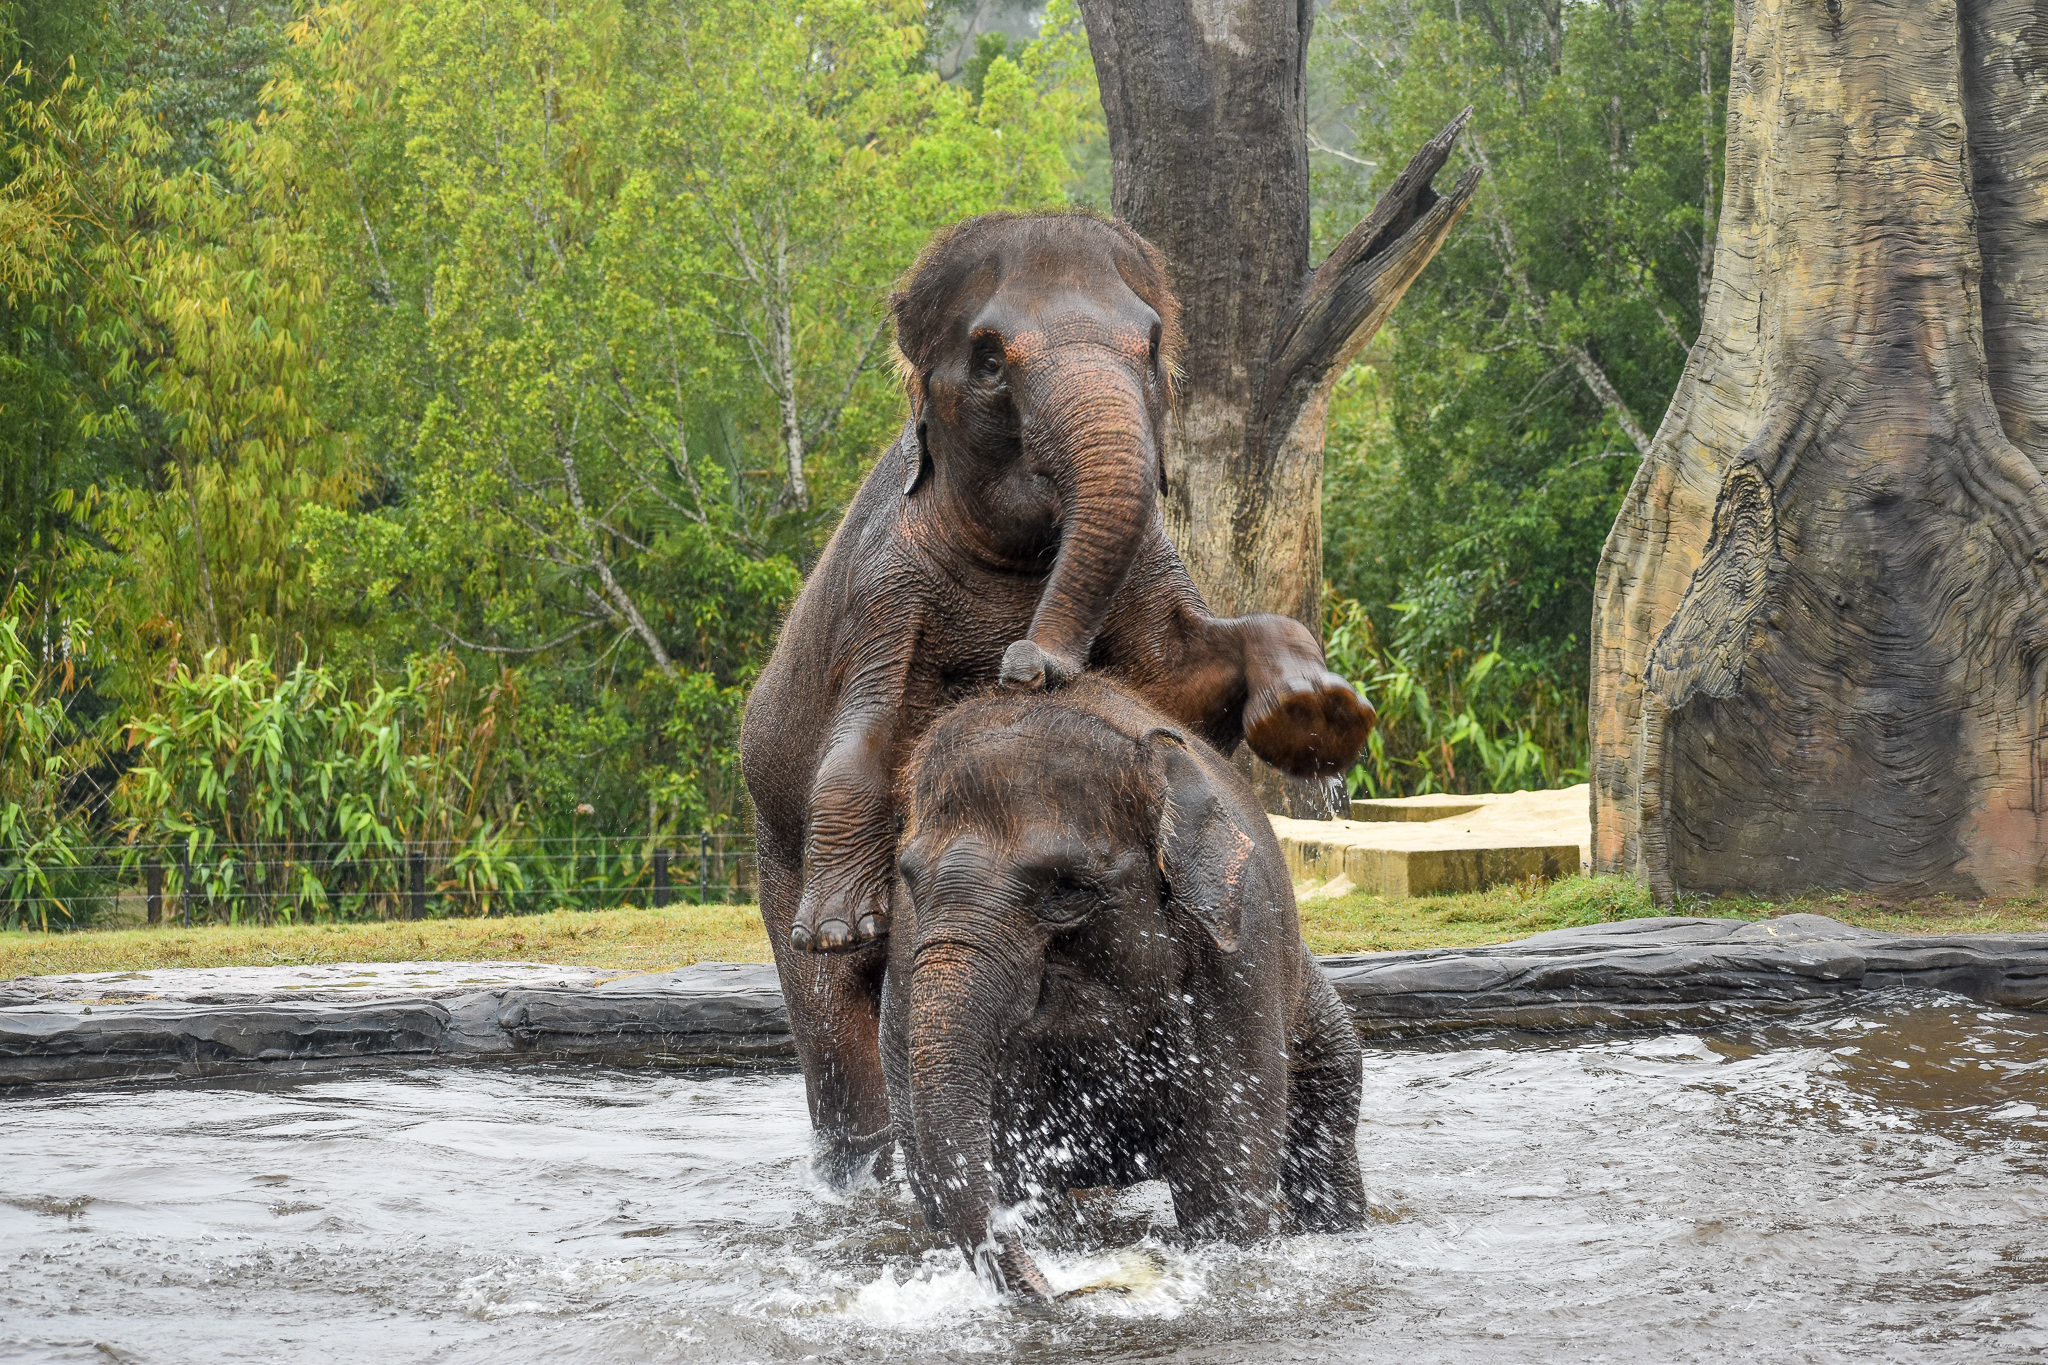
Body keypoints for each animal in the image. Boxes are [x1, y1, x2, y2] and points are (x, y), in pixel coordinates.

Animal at [739, 210, 1374, 1185]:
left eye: (1151, 347)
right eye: (989, 358)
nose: (1028, 664)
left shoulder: (1149, 562)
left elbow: (1186, 670)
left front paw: (1315, 716)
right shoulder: (884, 590)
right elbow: (863, 737)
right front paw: (845, 923)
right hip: (773, 857)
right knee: (835, 1036)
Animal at [879, 677, 1368, 1302]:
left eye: (1068, 889)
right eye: (910, 878)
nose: (1058, 1292)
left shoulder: (1239, 956)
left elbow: (1228, 1179)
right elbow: (1018, 1173)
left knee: (1328, 1130)